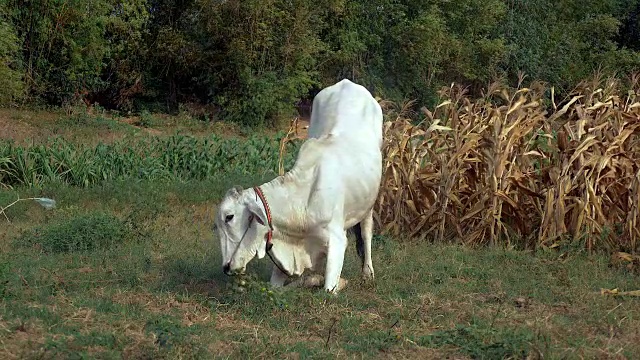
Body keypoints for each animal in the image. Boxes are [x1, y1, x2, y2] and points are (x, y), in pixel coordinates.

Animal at [212, 79, 382, 292]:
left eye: (229, 217)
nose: (226, 267)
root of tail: (347, 82)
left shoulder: (337, 240)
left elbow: (328, 288)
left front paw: (339, 281)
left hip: (369, 201)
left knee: (366, 231)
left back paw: (368, 272)